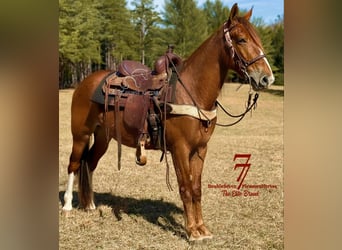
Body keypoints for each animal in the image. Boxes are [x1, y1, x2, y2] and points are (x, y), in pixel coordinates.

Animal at [62, 2, 276, 241]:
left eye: (258, 39)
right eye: (241, 40)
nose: (267, 78)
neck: (191, 91)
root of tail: (85, 83)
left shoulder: (200, 149)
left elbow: (196, 188)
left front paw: (202, 228)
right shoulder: (180, 149)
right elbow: (185, 187)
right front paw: (192, 231)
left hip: (103, 137)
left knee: (89, 162)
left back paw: (89, 204)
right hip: (81, 133)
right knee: (74, 163)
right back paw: (68, 206)